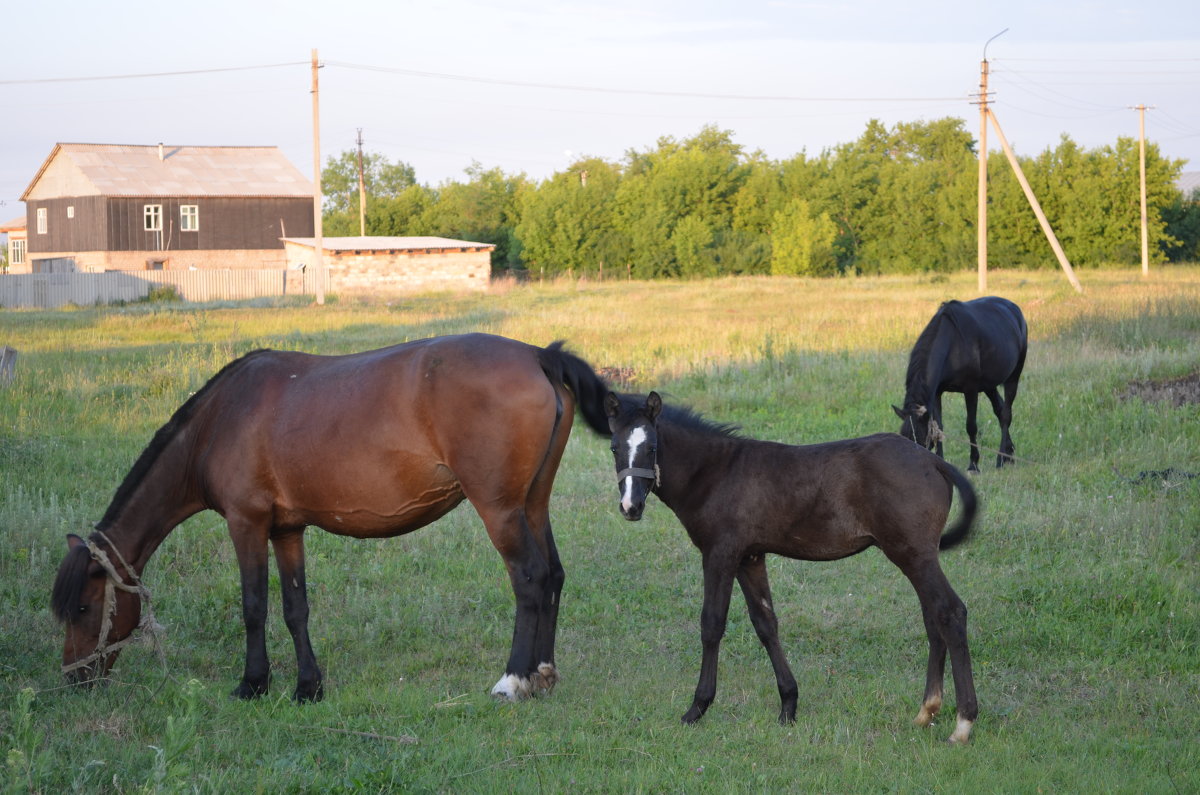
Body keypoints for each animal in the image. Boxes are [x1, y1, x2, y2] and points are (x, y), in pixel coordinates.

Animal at [51, 333, 609, 706]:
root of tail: (539, 355)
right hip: (532, 504)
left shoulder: (246, 523)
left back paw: (514, 680)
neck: (220, 420)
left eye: (83, 607)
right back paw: (543, 674)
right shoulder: (287, 529)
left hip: (500, 510)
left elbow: (254, 606)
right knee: (554, 574)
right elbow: (295, 608)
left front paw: (253, 683)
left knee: (530, 579)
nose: (74, 679)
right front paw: (307, 686)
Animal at [604, 391, 979, 749]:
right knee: (933, 617)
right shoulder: (750, 558)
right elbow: (766, 624)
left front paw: (697, 707)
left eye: (652, 447)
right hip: (914, 558)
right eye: (614, 448)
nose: (630, 507)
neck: (715, 473)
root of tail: (933, 460)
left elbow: (711, 624)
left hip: (914, 554)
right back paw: (926, 711)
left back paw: (963, 723)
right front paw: (788, 706)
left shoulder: (719, 554)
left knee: (950, 612)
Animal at [897, 299, 1027, 473]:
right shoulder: (937, 393)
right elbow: (939, 426)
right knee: (1000, 410)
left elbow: (971, 426)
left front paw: (974, 464)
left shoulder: (970, 389)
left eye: (919, 439)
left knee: (1006, 414)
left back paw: (1000, 459)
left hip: (1013, 377)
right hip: (989, 385)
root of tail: (1015, 309)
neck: (952, 344)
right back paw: (1009, 454)